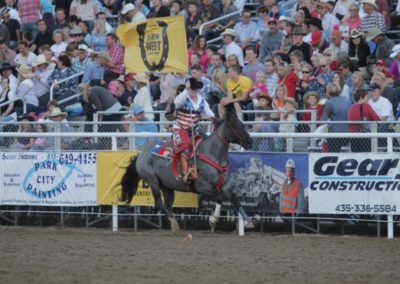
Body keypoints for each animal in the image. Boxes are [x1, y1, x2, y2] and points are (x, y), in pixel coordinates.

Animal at [120, 105, 255, 233]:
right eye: (234, 125)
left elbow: (235, 200)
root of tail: (141, 153)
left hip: (167, 187)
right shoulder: (201, 187)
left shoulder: (225, 186)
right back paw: (175, 224)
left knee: (168, 205)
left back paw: (174, 224)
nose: (249, 141)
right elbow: (220, 197)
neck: (212, 153)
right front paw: (213, 219)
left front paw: (248, 221)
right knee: (159, 202)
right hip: (152, 180)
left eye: (242, 124)